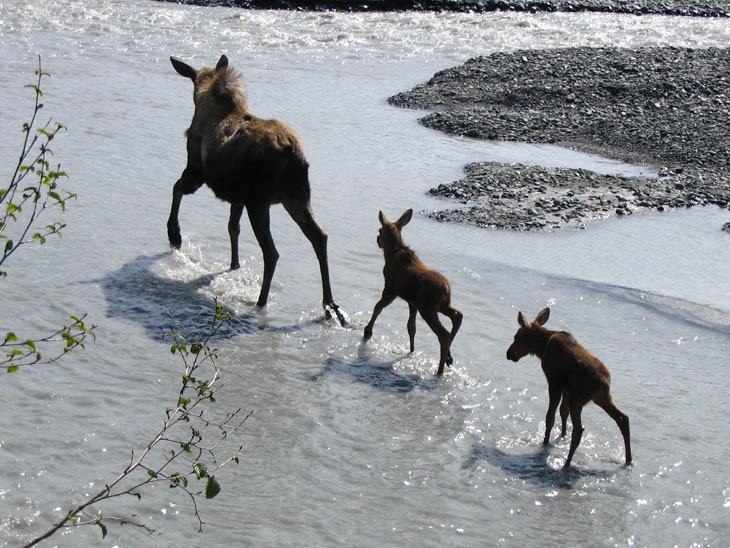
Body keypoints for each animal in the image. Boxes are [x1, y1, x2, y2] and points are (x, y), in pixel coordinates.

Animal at [168, 53, 344, 324]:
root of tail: (291, 152)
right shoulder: (237, 198)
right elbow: (232, 228)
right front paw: (234, 264)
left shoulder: (196, 170)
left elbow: (176, 188)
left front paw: (174, 235)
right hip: (297, 196)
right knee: (320, 236)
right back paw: (329, 303)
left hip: (260, 201)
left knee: (272, 252)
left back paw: (261, 301)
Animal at [362, 210, 460, 376]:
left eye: (380, 231)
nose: (377, 240)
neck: (390, 253)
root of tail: (447, 288)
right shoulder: (411, 302)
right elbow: (411, 327)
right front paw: (411, 350)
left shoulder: (390, 289)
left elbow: (378, 307)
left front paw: (367, 332)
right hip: (441, 305)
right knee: (458, 316)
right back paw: (448, 358)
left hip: (427, 308)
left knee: (444, 334)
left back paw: (439, 370)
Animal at [504, 306, 628, 468]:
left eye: (516, 337)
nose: (509, 353)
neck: (541, 348)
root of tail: (604, 384)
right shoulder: (565, 389)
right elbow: (563, 412)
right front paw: (562, 434)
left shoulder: (554, 382)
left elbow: (550, 416)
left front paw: (545, 442)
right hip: (602, 398)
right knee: (623, 418)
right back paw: (629, 460)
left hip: (578, 400)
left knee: (579, 429)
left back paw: (567, 463)